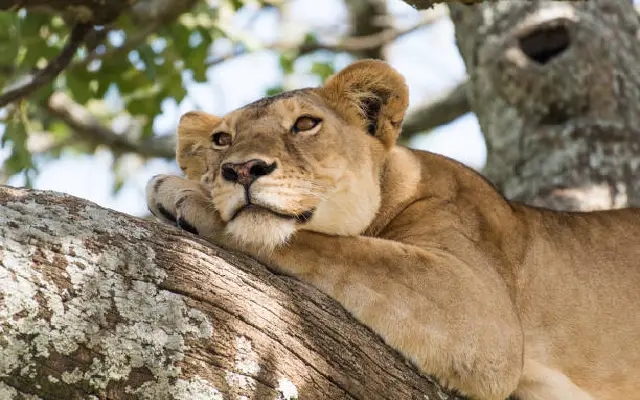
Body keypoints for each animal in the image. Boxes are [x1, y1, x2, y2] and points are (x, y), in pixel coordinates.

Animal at [146, 60, 640, 400]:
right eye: (221, 140)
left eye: (305, 124)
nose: (243, 170)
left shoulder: (479, 310)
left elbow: (335, 245)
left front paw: (182, 193)